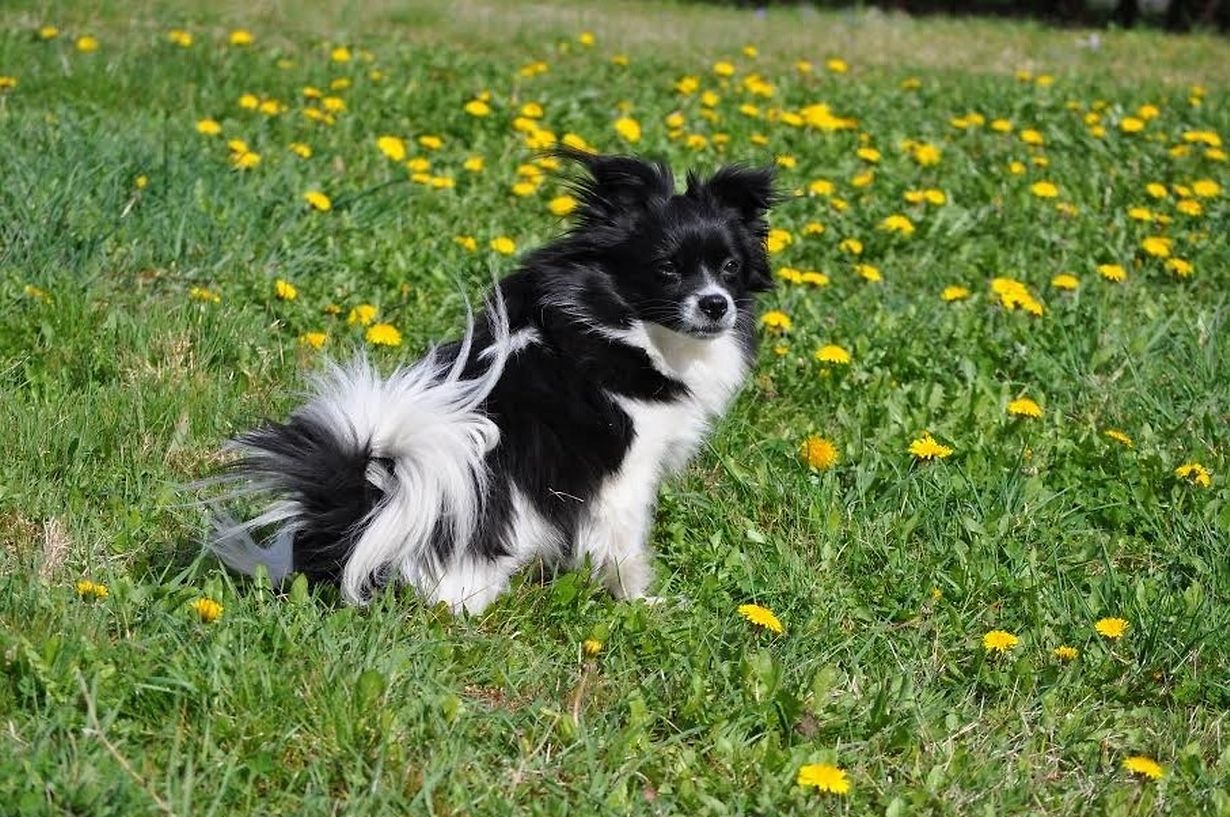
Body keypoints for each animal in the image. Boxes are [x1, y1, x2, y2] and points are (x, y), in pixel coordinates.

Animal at [209, 150, 778, 613]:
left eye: (730, 267)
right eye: (667, 270)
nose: (715, 304)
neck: (628, 330)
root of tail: (354, 522)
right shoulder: (625, 477)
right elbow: (623, 550)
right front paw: (641, 602)